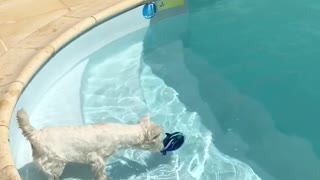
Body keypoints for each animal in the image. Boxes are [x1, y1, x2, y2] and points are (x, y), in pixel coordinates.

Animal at [16, 109, 164, 179]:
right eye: (160, 139)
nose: (163, 148)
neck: (121, 134)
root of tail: (34, 135)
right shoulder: (97, 157)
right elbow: (100, 170)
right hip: (55, 162)